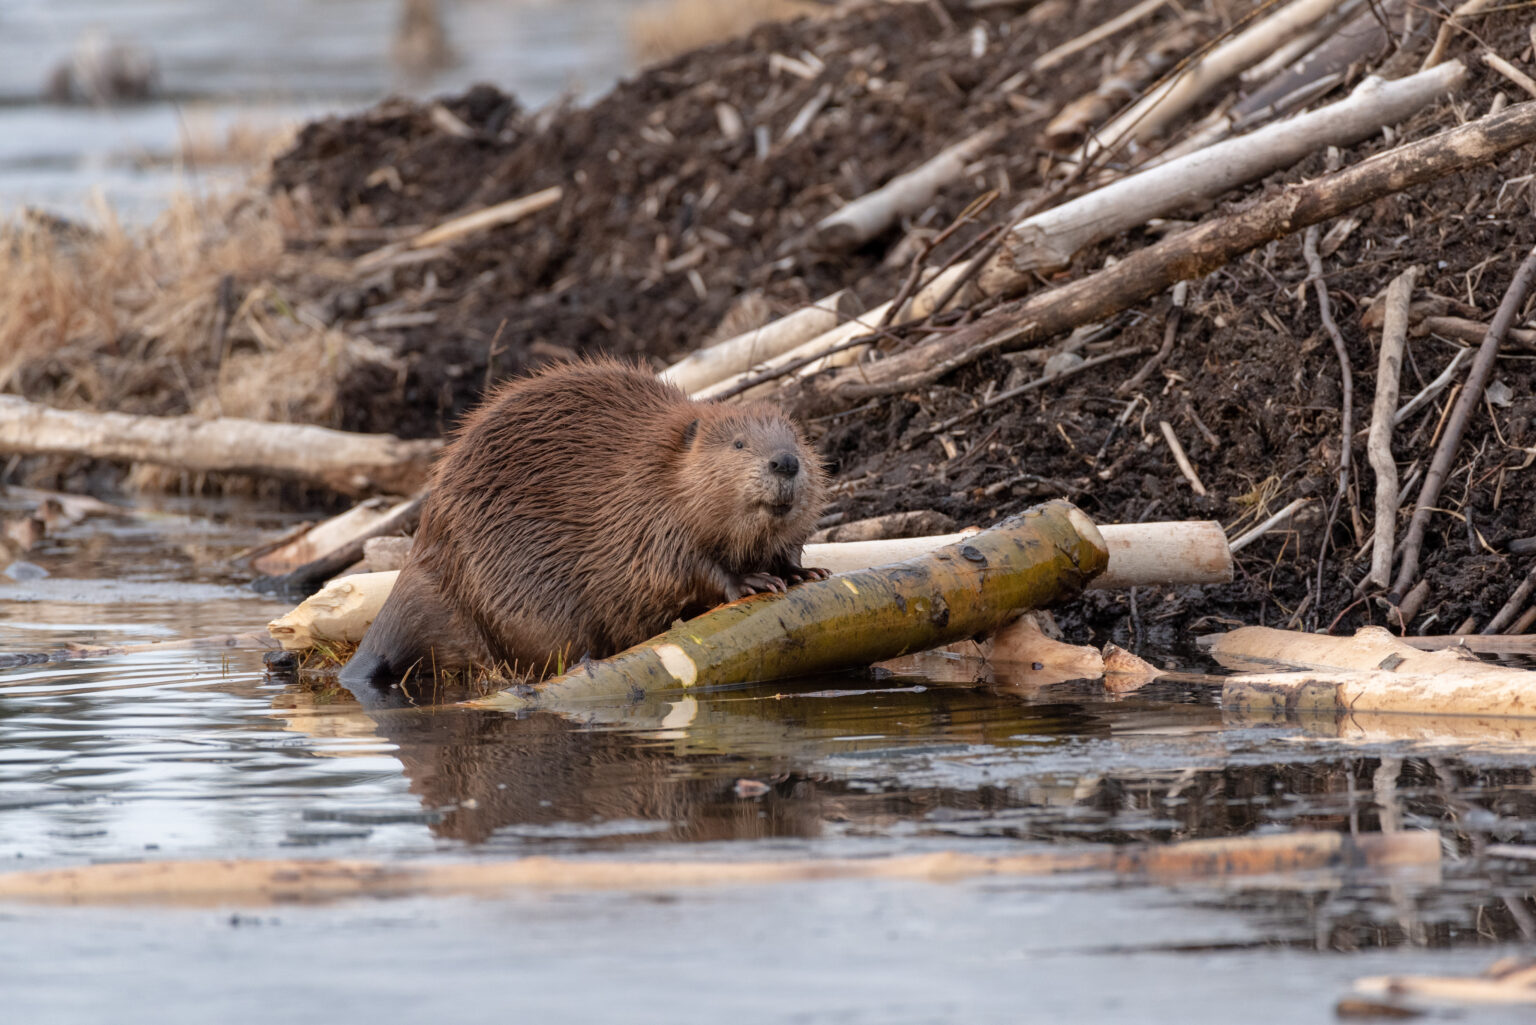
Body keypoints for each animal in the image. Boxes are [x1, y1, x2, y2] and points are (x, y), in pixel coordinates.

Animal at [340, 356, 829, 700]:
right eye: (739, 443)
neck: (664, 469)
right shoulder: (646, 514)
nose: (785, 462)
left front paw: (805, 571)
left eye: (797, 439)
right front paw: (752, 582)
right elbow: (679, 568)